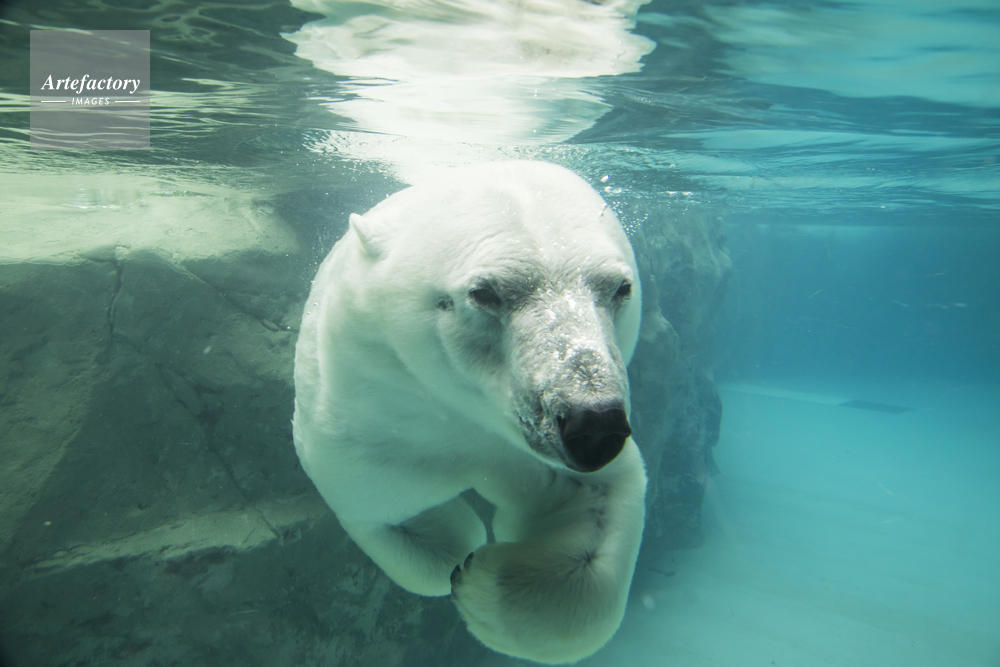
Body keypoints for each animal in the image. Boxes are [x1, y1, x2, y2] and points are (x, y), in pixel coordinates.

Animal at [293, 161, 647, 664]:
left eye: (620, 287)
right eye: (484, 293)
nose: (593, 423)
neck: (462, 409)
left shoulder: (527, 451)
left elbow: (599, 498)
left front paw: (483, 582)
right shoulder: (367, 420)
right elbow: (382, 509)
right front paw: (455, 553)